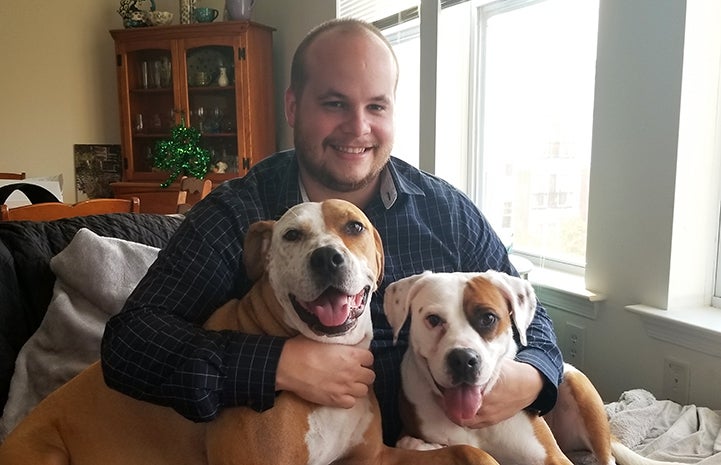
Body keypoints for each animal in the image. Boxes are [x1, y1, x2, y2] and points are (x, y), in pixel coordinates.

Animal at [382, 268, 680, 464]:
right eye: (433, 320)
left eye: (488, 318)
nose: (463, 359)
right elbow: (450, 448)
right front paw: (418, 444)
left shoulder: (553, 459)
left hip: (578, 385)